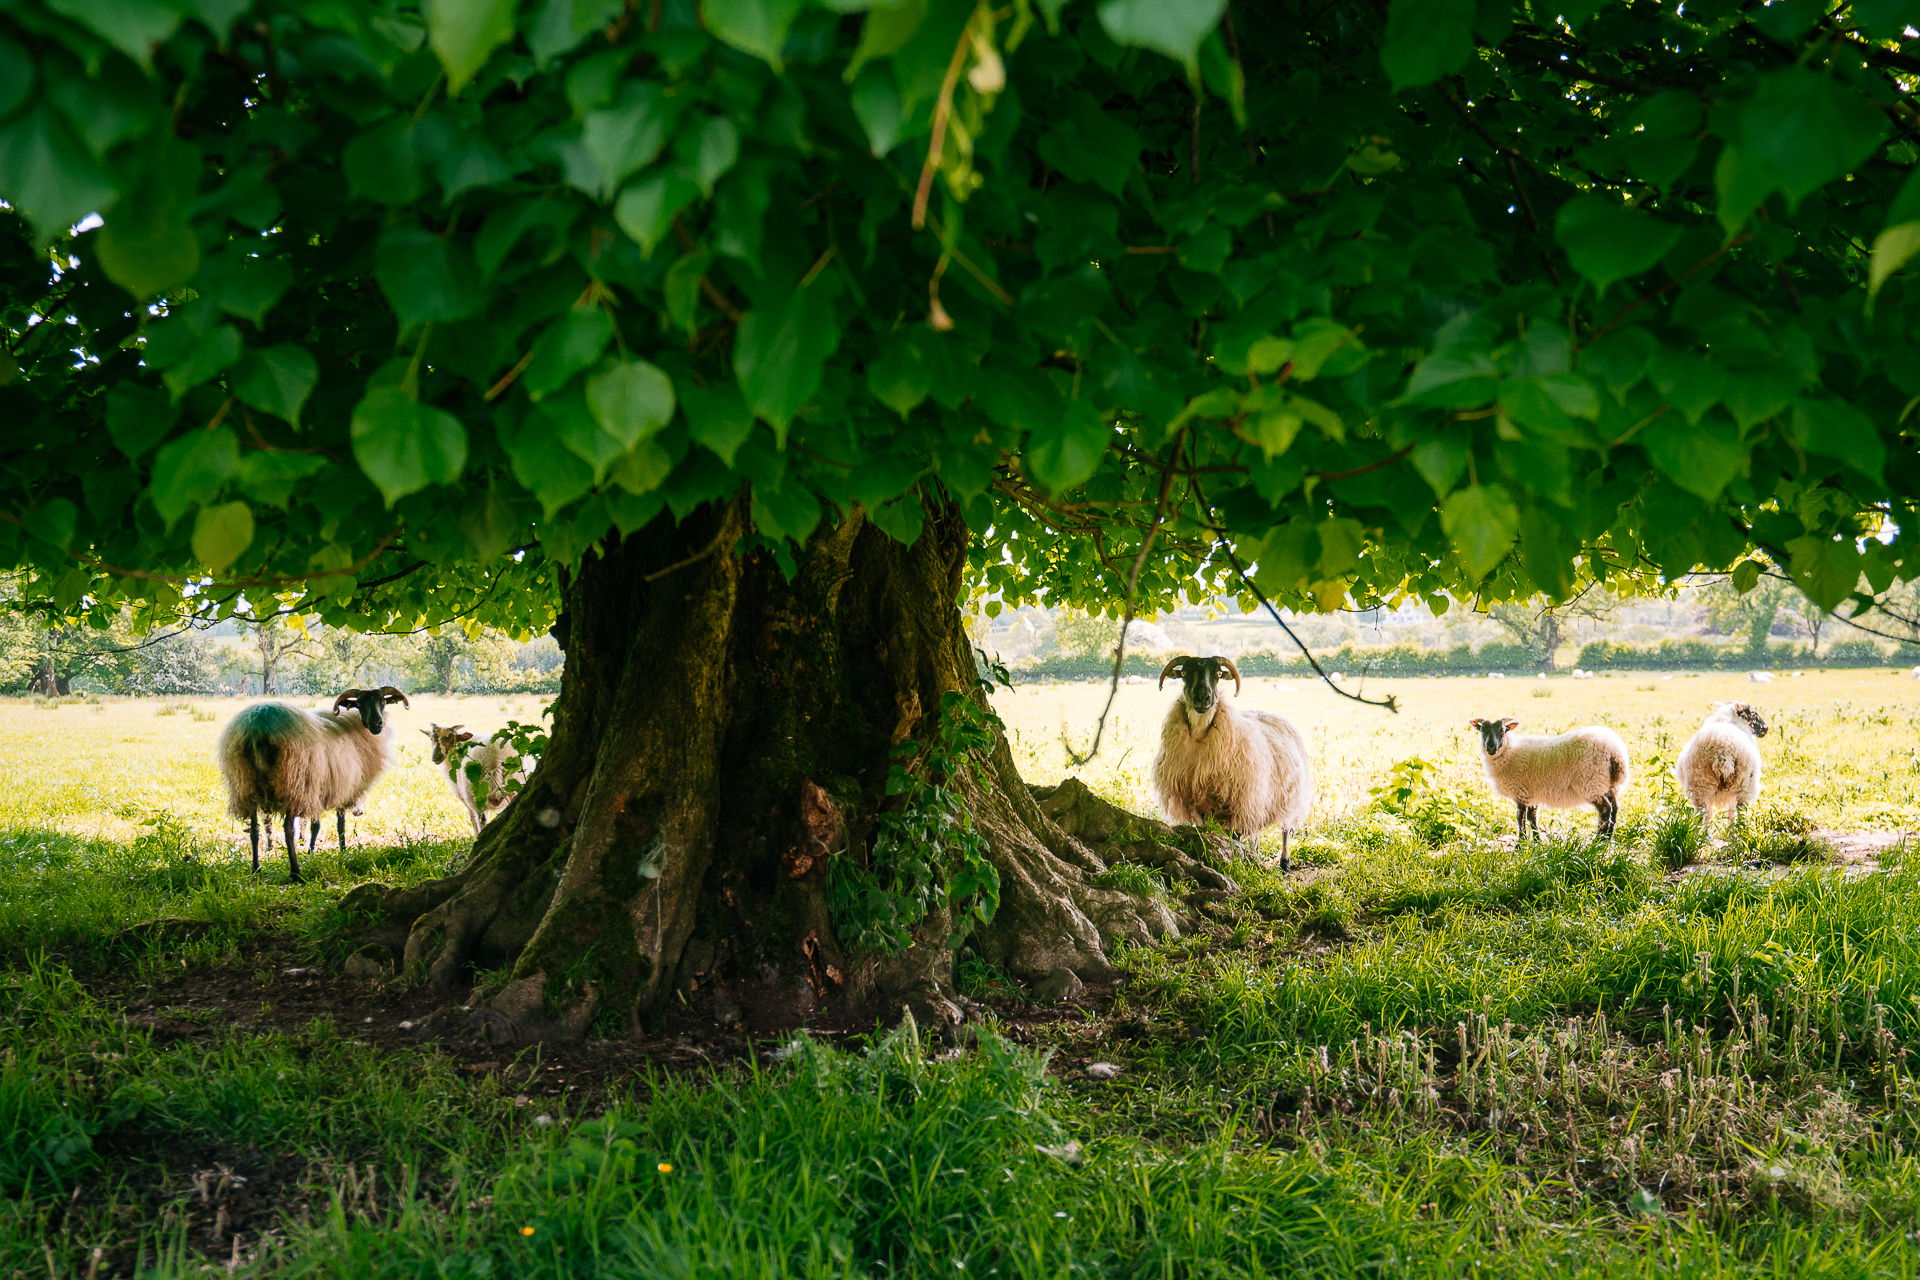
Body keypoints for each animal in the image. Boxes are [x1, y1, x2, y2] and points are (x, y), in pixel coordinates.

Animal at [217, 690, 408, 882]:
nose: (377, 724)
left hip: (246, 785)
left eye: (383, 702)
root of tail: (258, 728)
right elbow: (338, 825)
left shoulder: (319, 789)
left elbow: (315, 826)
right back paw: (295, 873)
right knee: (288, 830)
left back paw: (256, 869)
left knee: (254, 830)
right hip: (293, 784)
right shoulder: (338, 788)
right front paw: (340, 850)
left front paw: (312, 852)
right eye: (359, 704)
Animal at [1144, 656, 1313, 875]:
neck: (1199, 736)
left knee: (1285, 828)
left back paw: (1284, 863)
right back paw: (1256, 856)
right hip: (1258, 799)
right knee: (1256, 832)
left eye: (1217, 674)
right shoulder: (1199, 803)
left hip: (1285, 795)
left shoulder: (1238, 802)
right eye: (1184, 674)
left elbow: (1235, 837)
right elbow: (1208, 832)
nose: (1203, 697)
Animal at [1466, 717, 1635, 844]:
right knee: (1614, 809)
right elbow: (1532, 817)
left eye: (1502, 731)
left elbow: (1520, 818)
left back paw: (1598, 841)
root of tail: (1615, 751)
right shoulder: (1532, 793)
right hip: (1610, 785)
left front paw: (1520, 844)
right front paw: (1536, 841)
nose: (1491, 747)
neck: (1510, 751)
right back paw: (1607, 840)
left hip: (1591, 783)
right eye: (1482, 731)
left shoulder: (1521, 792)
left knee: (1605, 810)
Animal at [1674, 702, 1758, 840]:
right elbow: (1730, 812)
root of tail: (1723, 750)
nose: (1766, 729)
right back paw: (1739, 835)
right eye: (1753, 713)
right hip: (1744, 786)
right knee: (1739, 811)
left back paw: (1701, 835)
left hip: (1700, 785)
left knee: (1703, 812)